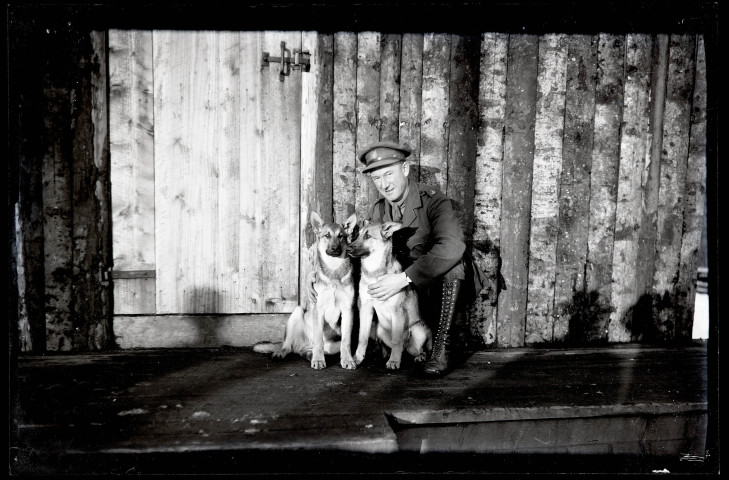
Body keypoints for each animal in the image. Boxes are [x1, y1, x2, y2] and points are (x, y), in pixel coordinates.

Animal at [253, 212, 358, 370]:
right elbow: (319, 340)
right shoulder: (318, 309)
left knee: (308, 350)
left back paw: (309, 355)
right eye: (327, 235)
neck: (333, 269)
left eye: (341, 236)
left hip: (331, 346)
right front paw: (319, 360)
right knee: (289, 346)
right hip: (297, 313)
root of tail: (301, 344)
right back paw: (284, 352)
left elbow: (346, 341)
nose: (334, 249)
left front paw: (347, 360)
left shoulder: (347, 310)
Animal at [348, 219, 432, 370]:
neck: (375, 273)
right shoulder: (365, 308)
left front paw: (394, 361)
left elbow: (397, 340)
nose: (347, 249)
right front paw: (357, 358)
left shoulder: (397, 311)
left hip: (417, 330)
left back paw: (418, 357)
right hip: (380, 330)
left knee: (419, 350)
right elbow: (362, 337)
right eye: (358, 235)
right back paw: (386, 353)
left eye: (367, 236)